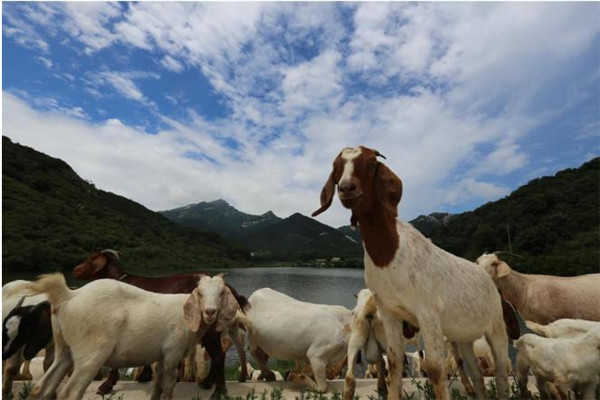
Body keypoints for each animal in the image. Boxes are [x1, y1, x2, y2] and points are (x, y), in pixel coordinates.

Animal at [23, 272, 239, 400]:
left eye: (222, 293)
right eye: (200, 293)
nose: (210, 312)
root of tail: (70, 296)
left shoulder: (161, 357)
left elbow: (157, 386)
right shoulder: (172, 354)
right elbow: (168, 387)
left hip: (64, 350)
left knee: (41, 388)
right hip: (91, 355)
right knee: (70, 393)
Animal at [314, 147, 510, 400]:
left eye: (371, 164)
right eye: (336, 168)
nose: (347, 188)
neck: (390, 256)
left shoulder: (428, 314)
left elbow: (435, 368)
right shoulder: (389, 313)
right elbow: (395, 361)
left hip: (496, 327)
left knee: (502, 373)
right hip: (464, 335)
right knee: (477, 375)